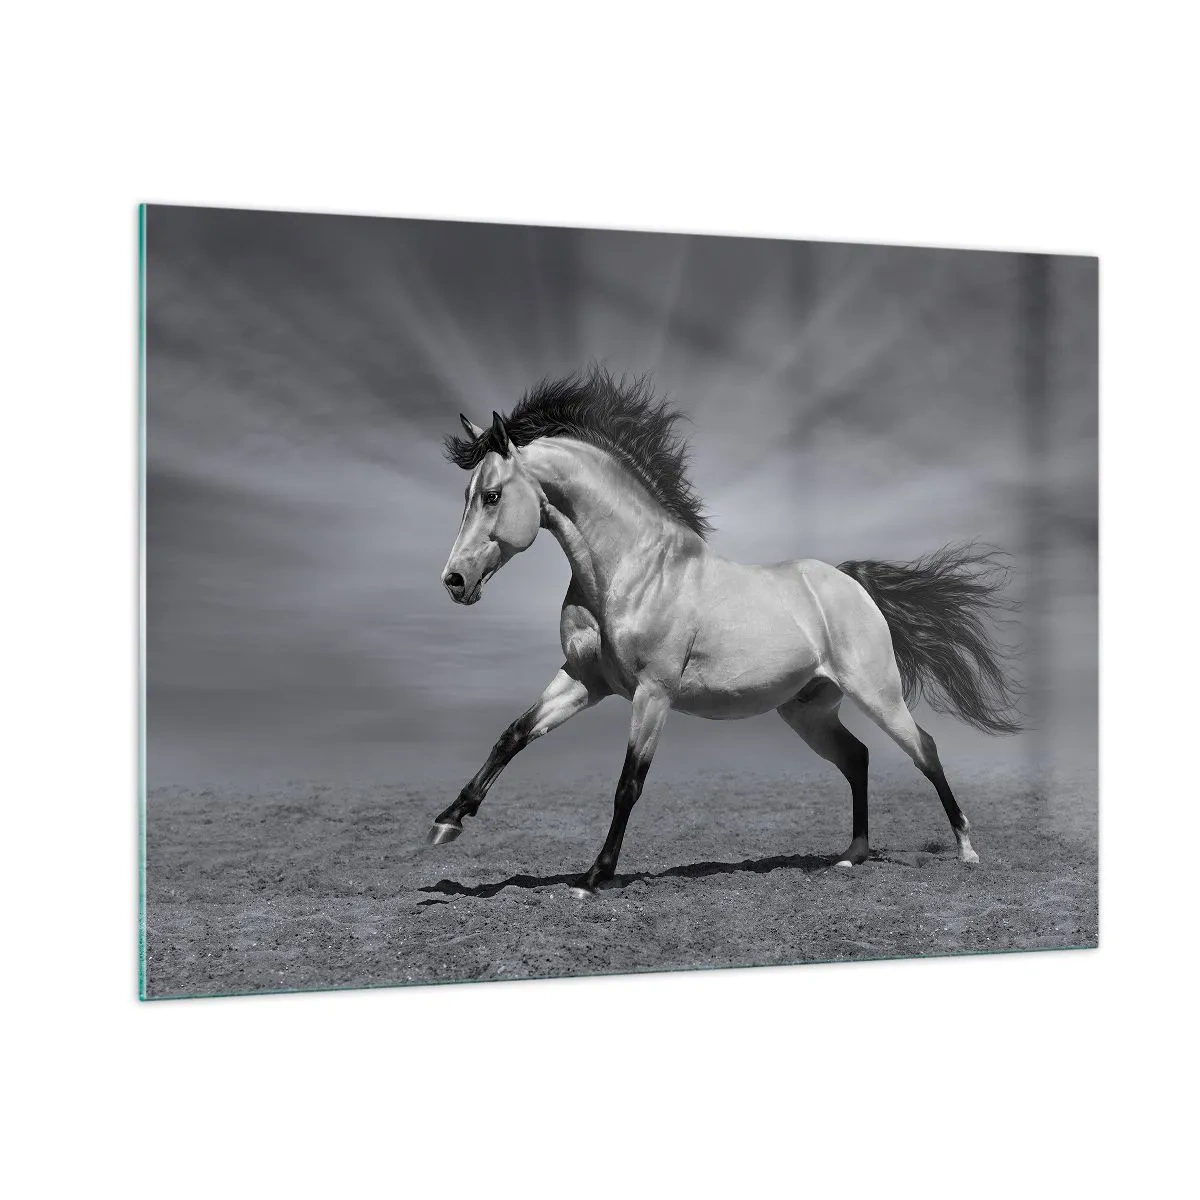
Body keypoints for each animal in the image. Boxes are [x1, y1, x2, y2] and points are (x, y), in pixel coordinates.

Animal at [430, 368, 1021, 897]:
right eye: (467, 494)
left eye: (491, 495)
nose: (454, 581)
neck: (632, 568)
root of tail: (850, 582)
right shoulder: (583, 680)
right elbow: (512, 735)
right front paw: (447, 821)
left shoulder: (652, 693)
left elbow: (628, 784)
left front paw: (594, 878)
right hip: (807, 711)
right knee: (857, 757)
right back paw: (851, 856)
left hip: (878, 694)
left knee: (925, 749)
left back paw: (966, 850)